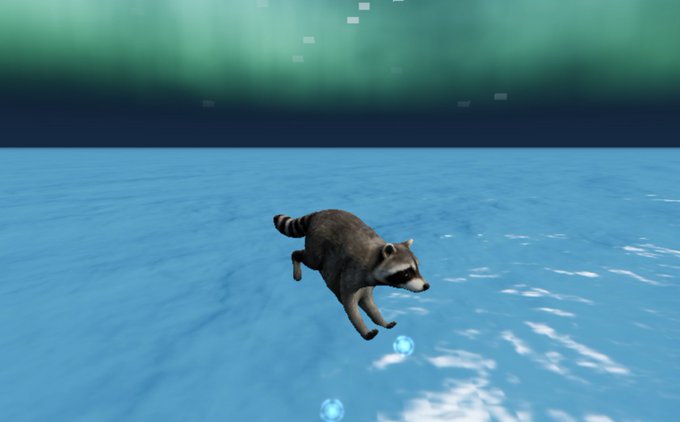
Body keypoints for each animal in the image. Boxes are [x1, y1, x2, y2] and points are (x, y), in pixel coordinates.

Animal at [273, 209, 429, 340]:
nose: (426, 286)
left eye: (417, 269)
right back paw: (296, 259)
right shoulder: (351, 273)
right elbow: (350, 305)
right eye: (406, 273)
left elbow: (369, 304)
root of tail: (319, 213)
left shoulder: (366, 286)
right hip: (316, 242)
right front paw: (364, 330)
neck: (374, 258)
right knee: (311, 259)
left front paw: (381, 321)